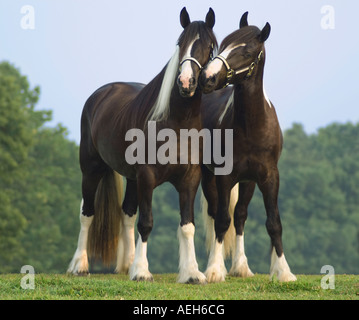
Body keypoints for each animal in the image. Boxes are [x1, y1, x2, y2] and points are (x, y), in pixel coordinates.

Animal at [68, 6, 218, 284]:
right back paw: (80, 265)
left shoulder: (189, 179)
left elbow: (187, 226)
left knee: (127, 214)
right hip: (91, 169)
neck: (176, 123)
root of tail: (101, 94)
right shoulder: (147, 177)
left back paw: (126, 264)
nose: (185, 83)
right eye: (180, 43)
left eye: (210, 46)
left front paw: (192, 273)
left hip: (131, 178)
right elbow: (147, 222)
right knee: (87, 213)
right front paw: (141, 271)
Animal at [198, 11, 296, 282]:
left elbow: (273, 223)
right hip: (208, 176)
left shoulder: (269, 176)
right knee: (217, 214)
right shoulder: (223, 177)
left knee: (240, 215)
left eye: (248, 51)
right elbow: (222, 220)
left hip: (247, 181)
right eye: (222, 45)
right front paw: (214, 270)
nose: (207, 78)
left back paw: (241, 267)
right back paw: (219, 265)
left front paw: (284, 271)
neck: (252, 126)